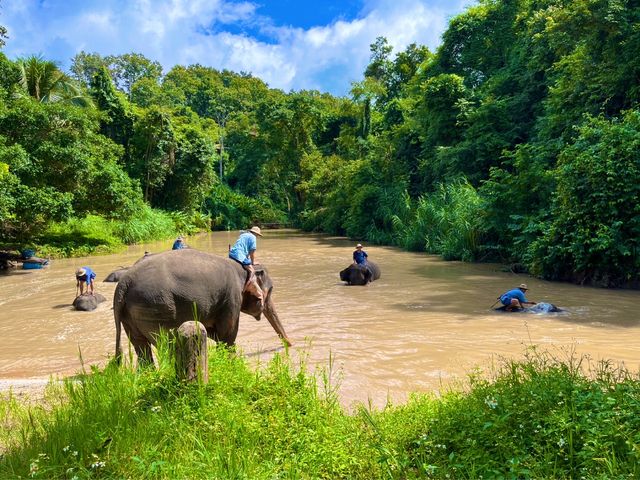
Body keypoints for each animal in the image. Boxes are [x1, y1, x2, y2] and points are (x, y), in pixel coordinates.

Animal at [115, 248, 292, 364]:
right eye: (270, 290)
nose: (290, 345)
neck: (245, 269)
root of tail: (124, 281)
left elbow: (214, 332)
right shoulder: (232, 297)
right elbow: (227, 333)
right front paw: (231, 364)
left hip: (131, 315)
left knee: (141, 347)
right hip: (156, 307)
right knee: (166, 343)